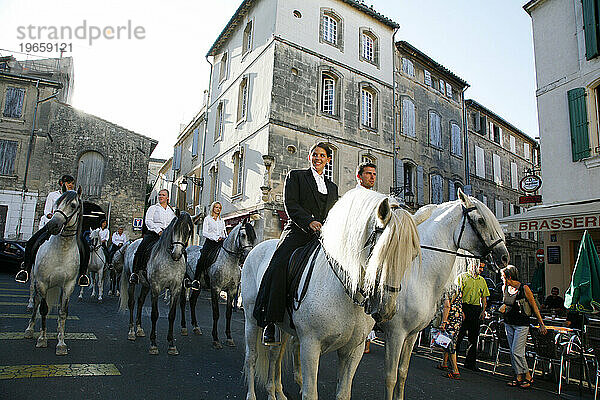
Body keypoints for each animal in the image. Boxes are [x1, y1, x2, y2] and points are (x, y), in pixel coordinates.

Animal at [23, 189, 83, 354]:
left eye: (73, 205)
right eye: (56, 203)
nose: (53, 225)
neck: (62, 249)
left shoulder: (69, 285)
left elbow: (63, 312)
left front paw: (61, 343)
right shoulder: (42, 282)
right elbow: (43, 309)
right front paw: (42, 339)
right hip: (36, 280)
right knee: (36, 302)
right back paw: (30, 329)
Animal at [122, 214, 195, 354]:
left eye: (188, 231)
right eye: (175, 228)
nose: (177, 254)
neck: (170, 261)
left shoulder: (176, 289)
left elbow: (172, 315)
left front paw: (171, 344)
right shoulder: (155, 287)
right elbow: (154, 314)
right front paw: (153, 344)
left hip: (146, 285)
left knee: (140, 301)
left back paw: (139, 329)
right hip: (131, 280)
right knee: (132, 303)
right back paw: (132, 332)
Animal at [179, 220, 256, 348]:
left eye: (253, 236)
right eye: (243, 235)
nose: (247, 255)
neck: (229, 261)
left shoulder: (232, 290)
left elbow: (228, 314)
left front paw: (229, 338)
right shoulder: (216, 289)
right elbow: (216, 313)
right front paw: (215, 338)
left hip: (198, 286)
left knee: (193, 302)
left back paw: (196, 327)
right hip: (185, 283)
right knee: (182, 302)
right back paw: (184, 327)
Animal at [241, 188, 420, 400]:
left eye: (412, 256)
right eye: (380, 251)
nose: (386, 309)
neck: (347, 293)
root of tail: (256, 248)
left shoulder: (354, 350)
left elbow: (343, 393)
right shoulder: (310, 345)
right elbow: (310, 393)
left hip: (281, 326)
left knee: (275, 354)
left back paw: (275, 392)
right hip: (251, 319)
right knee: (252, 356)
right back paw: (252, 394)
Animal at [382, 188, 508, 400]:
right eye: (481, 220)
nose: (504, 257)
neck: (417, 272)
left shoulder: (411, 334)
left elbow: (402, 372)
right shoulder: (395, 333)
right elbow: (390, 377)